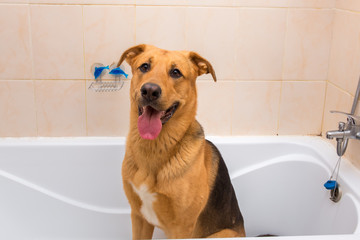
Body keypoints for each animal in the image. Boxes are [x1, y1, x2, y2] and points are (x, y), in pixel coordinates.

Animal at [118, 44, 245, 238]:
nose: (150, 91)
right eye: (144, 67)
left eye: (176, 72)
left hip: (221, 234)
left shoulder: (181, 228)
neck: (153, 147)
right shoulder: (139, 217)